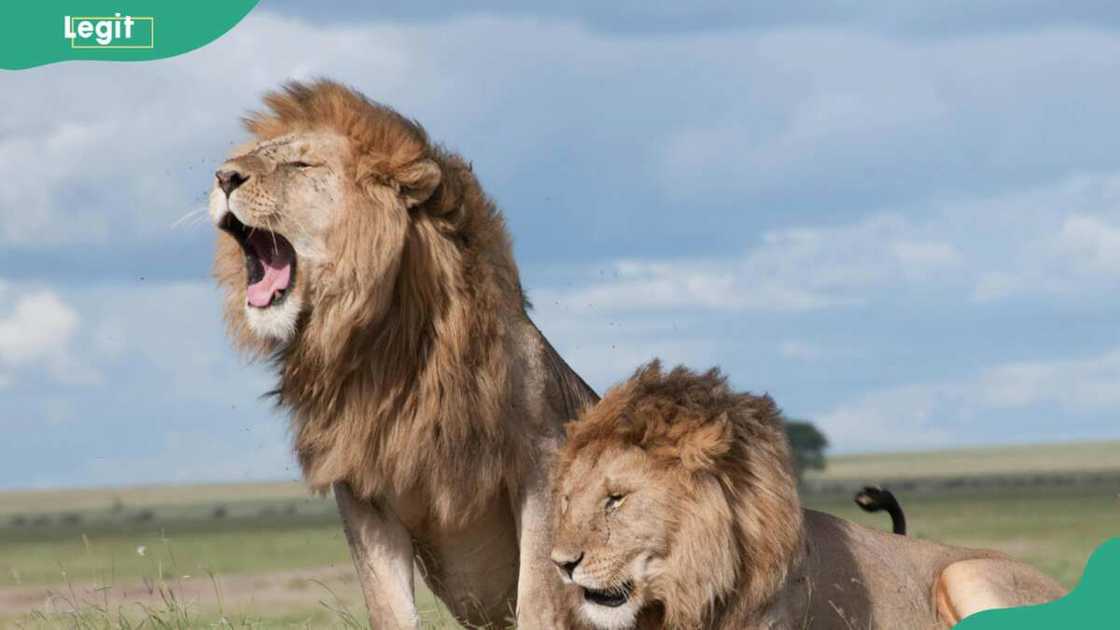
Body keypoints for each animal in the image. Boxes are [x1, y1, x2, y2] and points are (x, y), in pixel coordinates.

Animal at [209, 80, 595, 623]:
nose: (223, 176)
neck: (384, 348)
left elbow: (538, 597)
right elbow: (389, 606)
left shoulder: (541, 466)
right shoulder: (363, 491)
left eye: (301, 165)